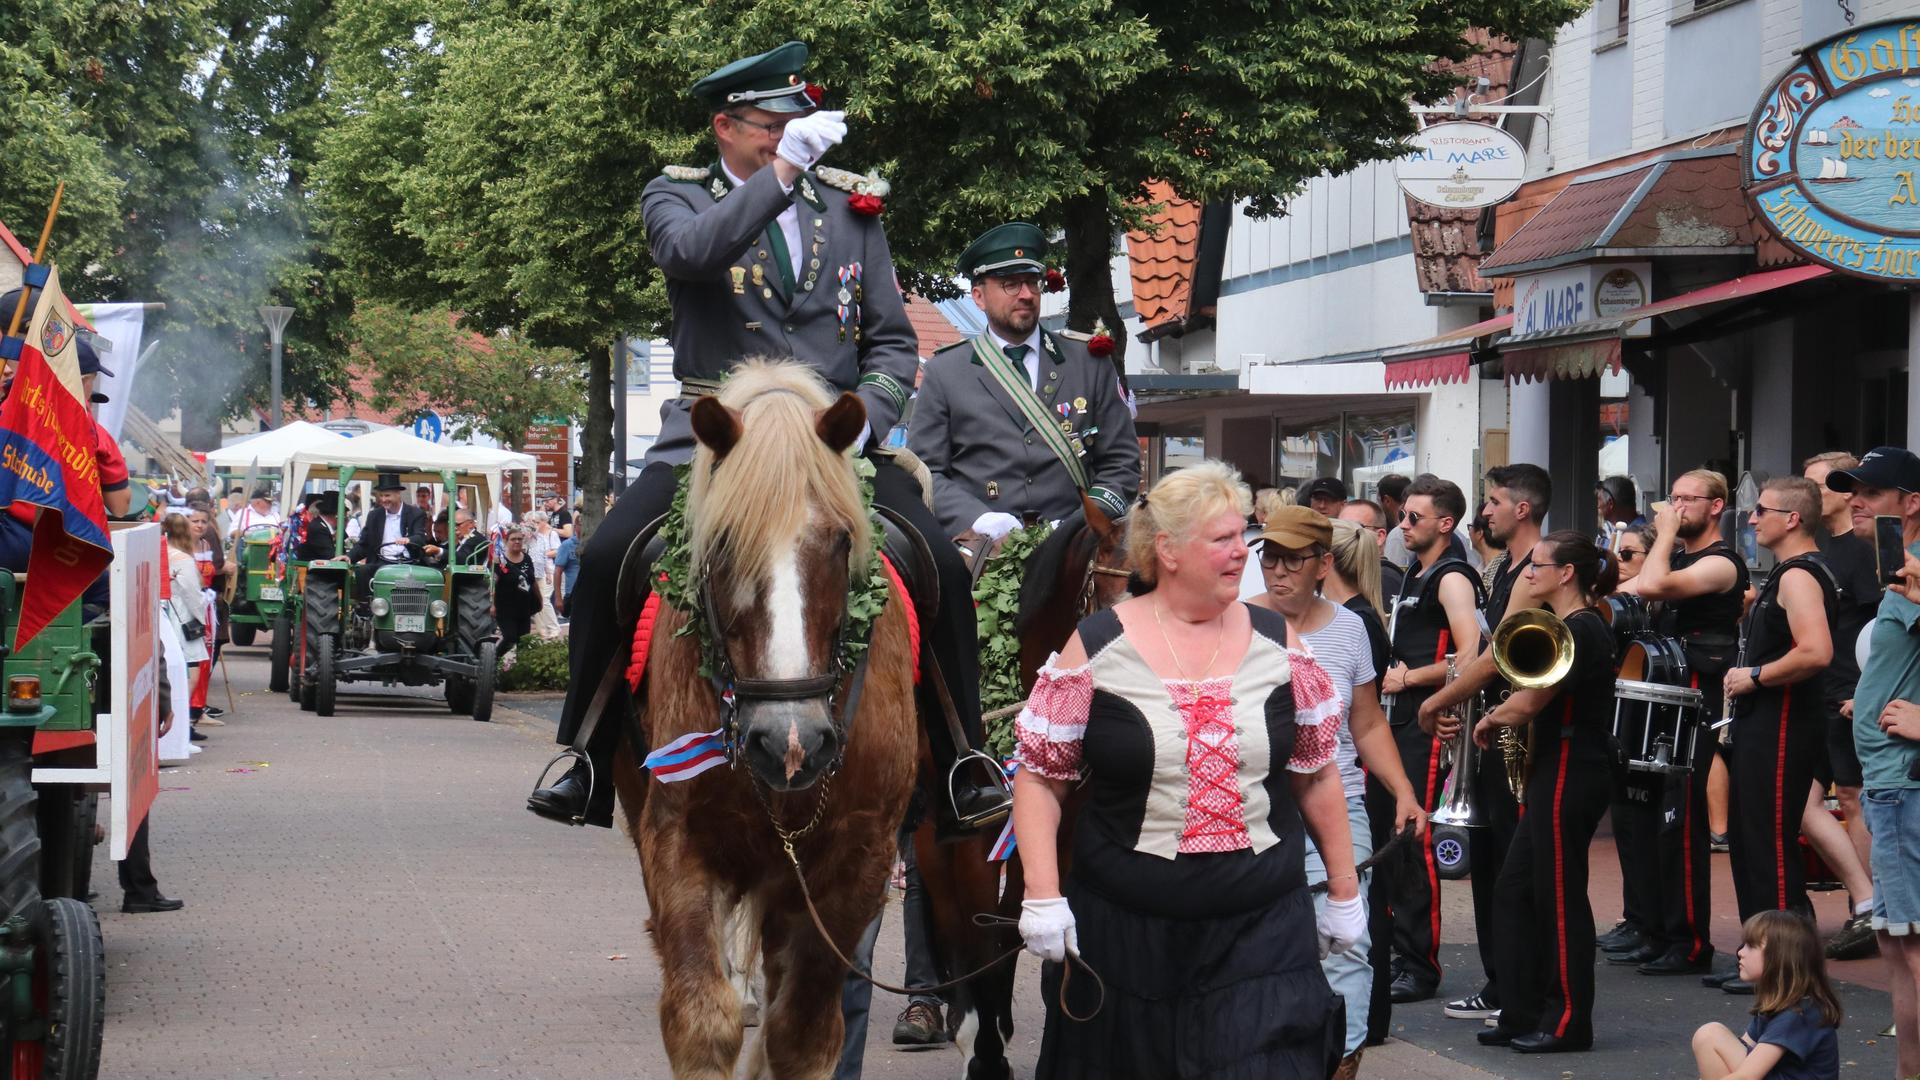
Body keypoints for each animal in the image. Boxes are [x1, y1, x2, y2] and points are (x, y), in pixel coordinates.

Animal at [610, 363, 917, 1076]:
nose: (789, 743)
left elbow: (802, 1035)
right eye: (722, 542)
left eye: (840, 540)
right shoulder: (676, 840)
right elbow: (701, 1019)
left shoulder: (859, 860)